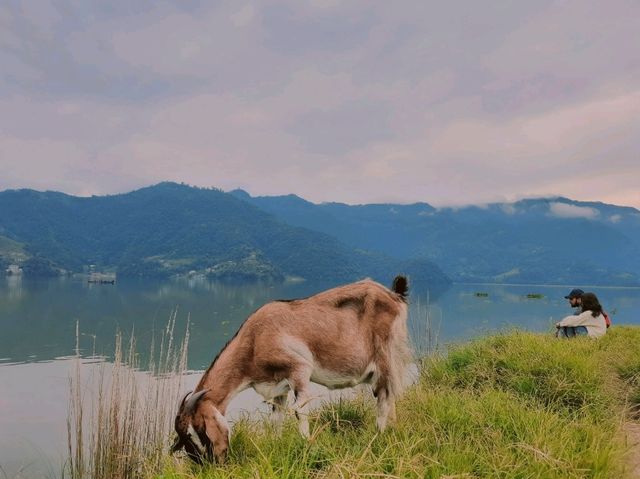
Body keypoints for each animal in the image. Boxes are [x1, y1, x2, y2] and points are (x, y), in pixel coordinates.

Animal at [170, 276, 410, 464]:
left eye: (200, 429)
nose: (214, 463)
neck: (255, 339)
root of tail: (394, 295)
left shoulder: (299, 370)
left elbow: (299, 410)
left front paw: (307, 445)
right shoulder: (279, 386)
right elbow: (276, 419)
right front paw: (276, 446)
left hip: (386, 357)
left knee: (385, 397)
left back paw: (378, 436)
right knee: (389, 397)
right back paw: (392, 430)